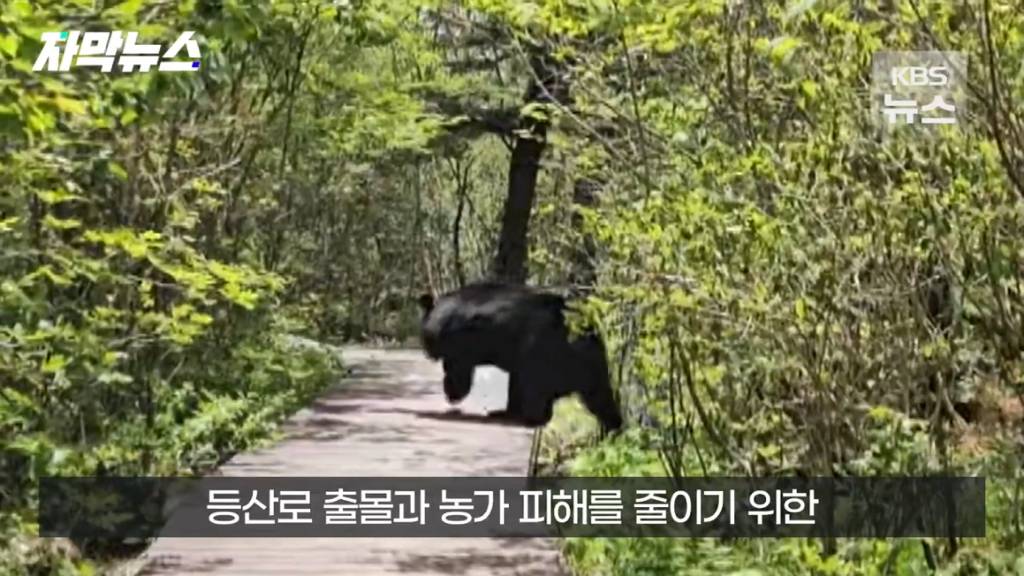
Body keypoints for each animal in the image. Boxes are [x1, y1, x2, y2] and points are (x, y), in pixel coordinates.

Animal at [415, 280, 622, 428]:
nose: (427, 353)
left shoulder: (460, 343)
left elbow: (458, 372)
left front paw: (452, 393)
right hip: (591, 362)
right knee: (600, 396)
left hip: (543, 349)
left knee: (534, 384)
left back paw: (530, 417)